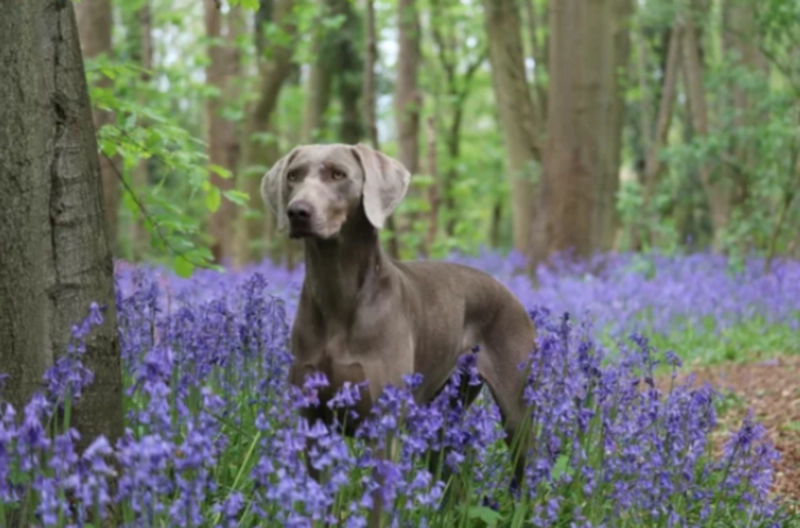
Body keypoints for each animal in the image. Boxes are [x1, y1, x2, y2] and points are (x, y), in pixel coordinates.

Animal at [262, 143, 536, 508]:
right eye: (293, 176)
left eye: (338, 174)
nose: (297, 212)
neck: (338, 295)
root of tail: (511, 294)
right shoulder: (314, 422)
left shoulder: (384, 426)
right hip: (439, 418)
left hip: (516, 411)